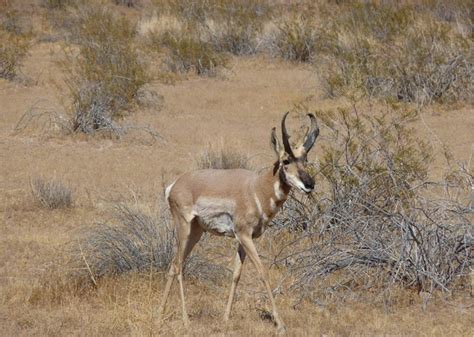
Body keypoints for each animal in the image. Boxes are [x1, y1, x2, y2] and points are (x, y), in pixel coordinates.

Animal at [158, 111, 318, 332]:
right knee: (179, 265)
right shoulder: (244, 235)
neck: (257, 188)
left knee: (174, 265)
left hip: (196, 232)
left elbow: (236, 274)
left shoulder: (242, 239)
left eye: (305, 159)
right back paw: (185, 320)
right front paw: (280, 324)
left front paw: (226, 317)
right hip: (183, 227)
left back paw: (160, 313)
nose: (309, 184)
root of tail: (175, 185)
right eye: (286, 160)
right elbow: (263, 272)